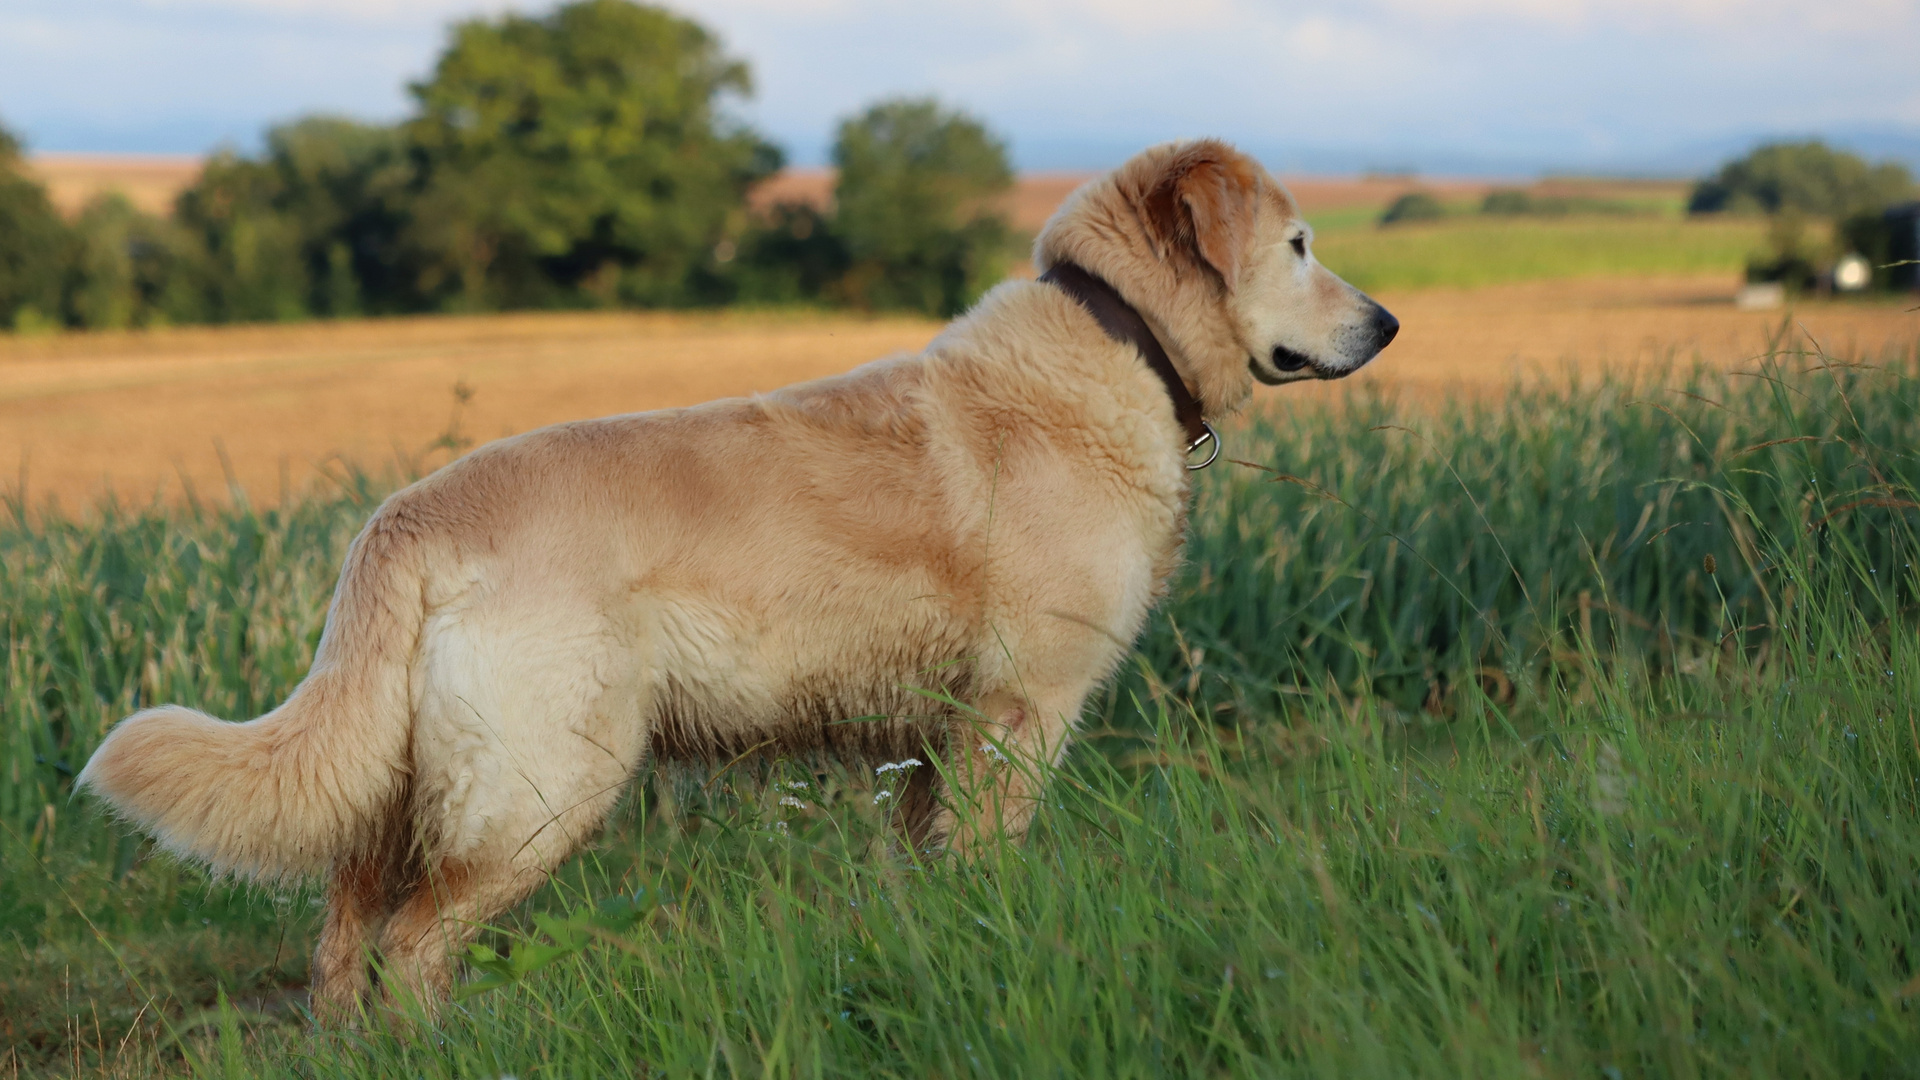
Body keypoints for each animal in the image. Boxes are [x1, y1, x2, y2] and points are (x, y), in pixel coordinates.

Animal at [78, 138, 1397, 1014]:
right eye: (1298, 246)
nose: (1387, 324)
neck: (1121, 340)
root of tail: (405, 518)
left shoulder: (934, 742)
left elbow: (923, 879)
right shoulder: (1019, 715)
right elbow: (993, 862)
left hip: (401, 792)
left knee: (344, 944)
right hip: (545, 785)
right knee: (413, 948)